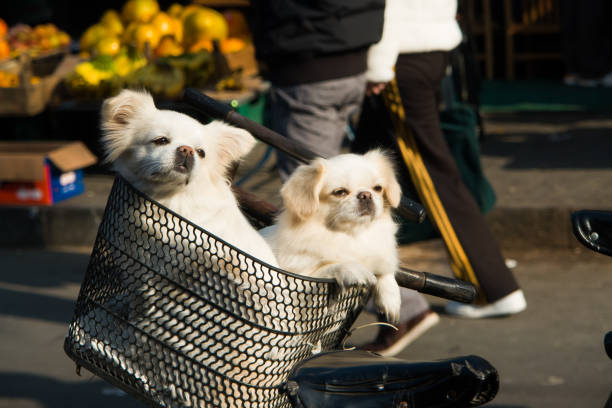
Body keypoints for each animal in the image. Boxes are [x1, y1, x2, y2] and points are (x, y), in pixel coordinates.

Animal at [266, 150, 404, 322]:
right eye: (340, 192)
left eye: (378, 188)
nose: (366, 194)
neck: (352, 236)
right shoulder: (297, 282)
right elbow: (330, 266)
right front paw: (353, 269)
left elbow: (385, 270)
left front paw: (391, 300)